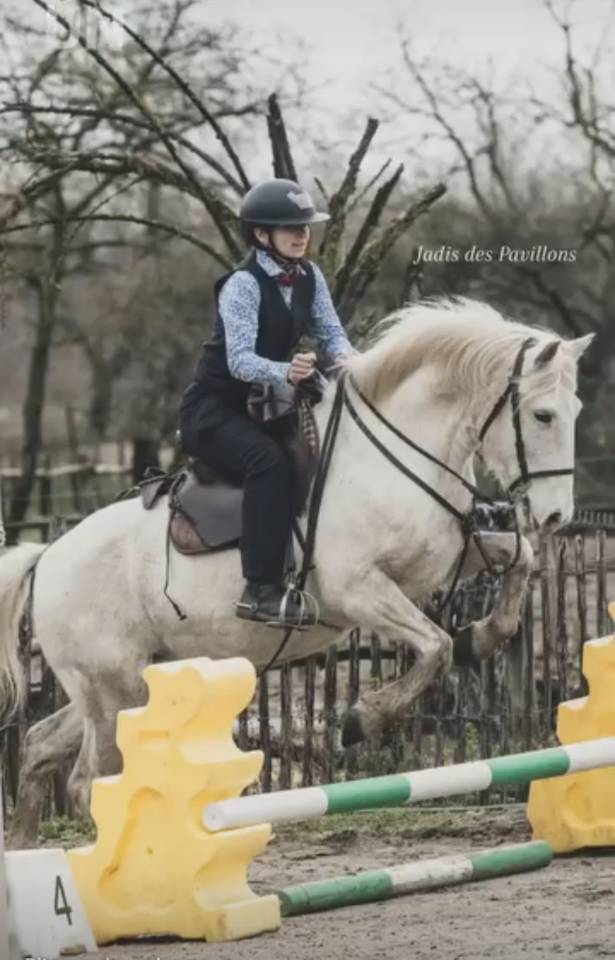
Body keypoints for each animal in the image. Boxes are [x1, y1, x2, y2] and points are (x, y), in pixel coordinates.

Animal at [0, 298, 591, 845]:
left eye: (576, 409)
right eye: (543, 415)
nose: (556, 516)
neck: (396, 456)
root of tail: (48, 557)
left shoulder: (442, 560)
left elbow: (518, 564)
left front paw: (481, 637)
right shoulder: (360, 590)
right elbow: (435, 647)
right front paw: (362, 719)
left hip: (121, 684)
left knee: (40, 747)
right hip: (111, 692)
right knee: (87, 782)